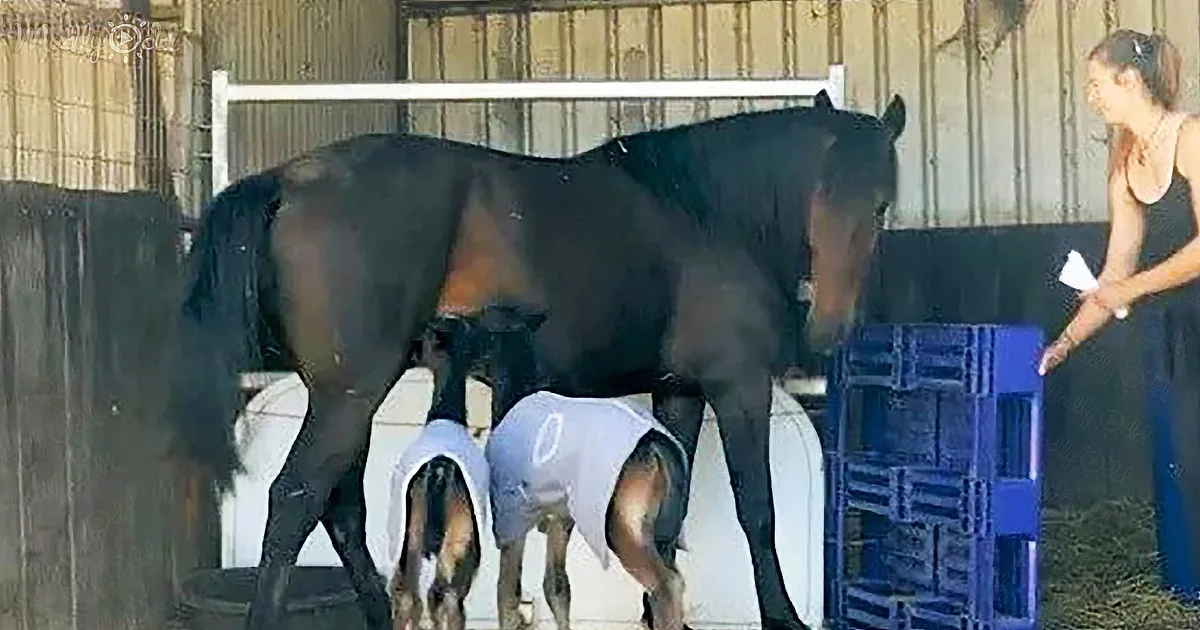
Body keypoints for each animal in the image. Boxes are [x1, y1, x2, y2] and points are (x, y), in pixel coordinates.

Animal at [387, 316, 488, 630]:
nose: (411, 352)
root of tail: (440, 471)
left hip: (419, 537)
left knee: (417, 595)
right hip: (452, 541)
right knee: (440, 597)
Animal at [479, 304, 690, 630]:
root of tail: (656, 447)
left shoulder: (511, 513)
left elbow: (508, 592)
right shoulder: (561, 517)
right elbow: (556, 586)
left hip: (622, 524)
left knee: (666, 584)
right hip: (664, 527)